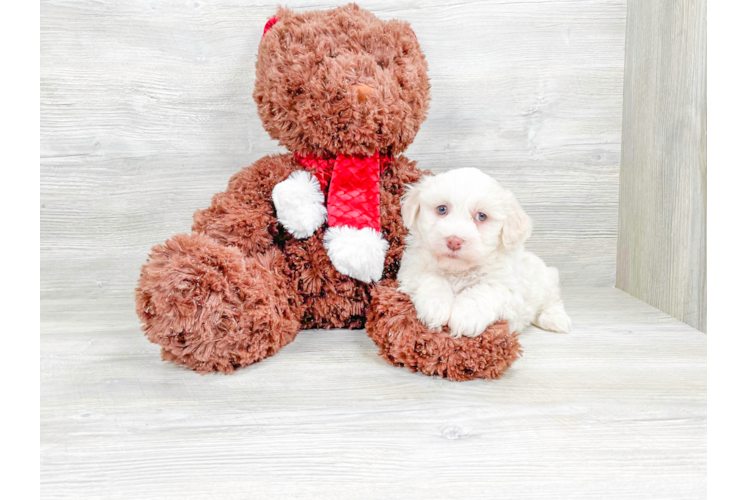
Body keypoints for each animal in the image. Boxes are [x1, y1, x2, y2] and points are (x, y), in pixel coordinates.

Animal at [400, 167, 568, 336]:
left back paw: (555, 319)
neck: (458, 270)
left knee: (552, 300)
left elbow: (485, 290)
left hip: (545, 279)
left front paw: (466, 317)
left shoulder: (508, 287)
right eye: (442, 209)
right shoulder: (412, 269)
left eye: (481, 216)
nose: (454, 241)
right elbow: (432, 278)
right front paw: (435, 306)